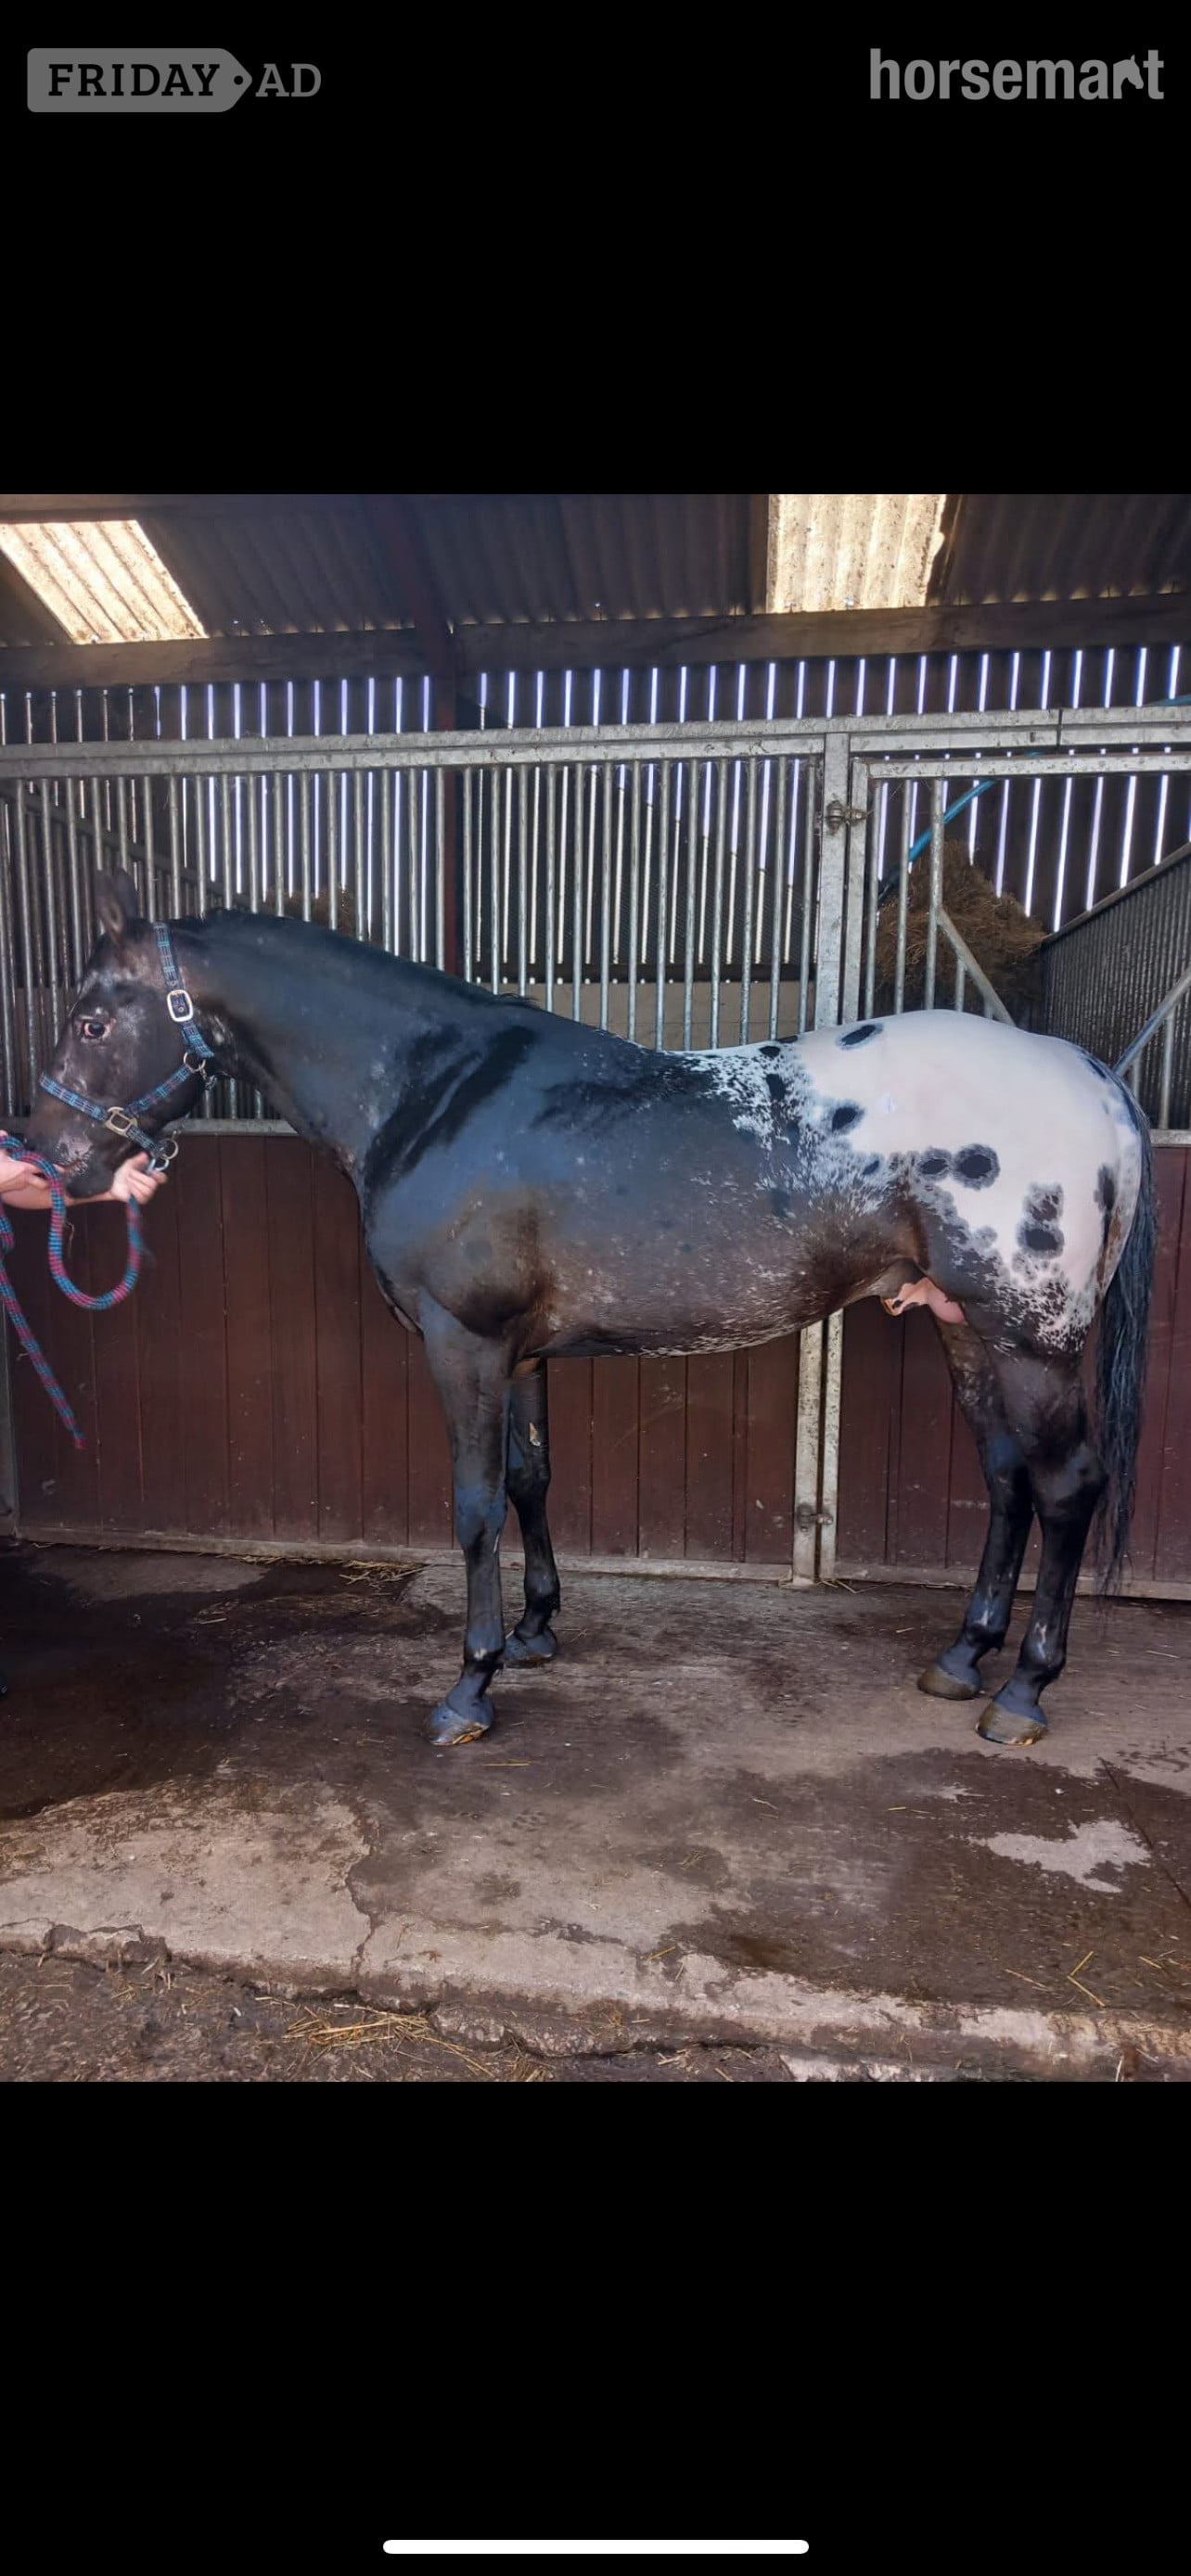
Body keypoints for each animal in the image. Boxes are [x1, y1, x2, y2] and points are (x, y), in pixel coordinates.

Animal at [25, 869, 1155, 1753]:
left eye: (90, 1019)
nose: (44, 1158)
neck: (436, 1093)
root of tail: (1090, 1078)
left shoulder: (466, 1343)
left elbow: (476, 1507)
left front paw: (469, 1686)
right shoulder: (522, 1354)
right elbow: (532, 1481)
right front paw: (534, 1634)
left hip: (1031, 1339)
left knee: (1066, 1488)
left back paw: (1023, 1692)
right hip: (964, 1327)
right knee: (1007, 1480)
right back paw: (963, 1657)